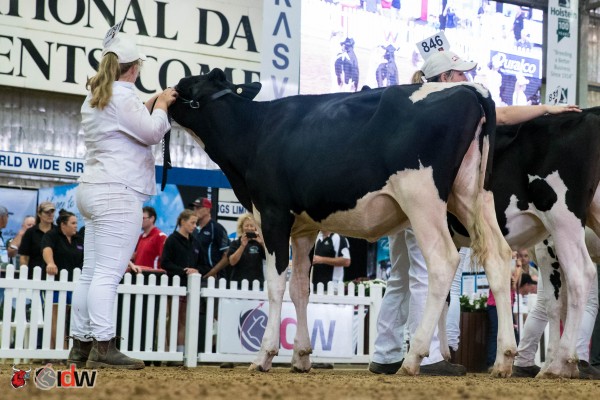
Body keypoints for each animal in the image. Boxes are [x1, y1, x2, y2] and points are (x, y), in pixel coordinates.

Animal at [169, 68, 515, 376]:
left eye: (191, 83)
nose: (169, 92)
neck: (255, 132)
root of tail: (470, 89)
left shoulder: (273, 215)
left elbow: (276, 285)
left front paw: (264, 356)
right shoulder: (305, 227)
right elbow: (300, 287)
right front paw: (301, 356)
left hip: (422, 197)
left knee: (443, 261)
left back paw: (413, 358)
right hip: (471, 195)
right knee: (499, 256)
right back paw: (504, 359)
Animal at [447, 107, 600, 378]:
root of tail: (589, 113)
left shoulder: (548, 248)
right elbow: (554, 304)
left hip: (563, 221)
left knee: (581, 276)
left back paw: (561, 363)